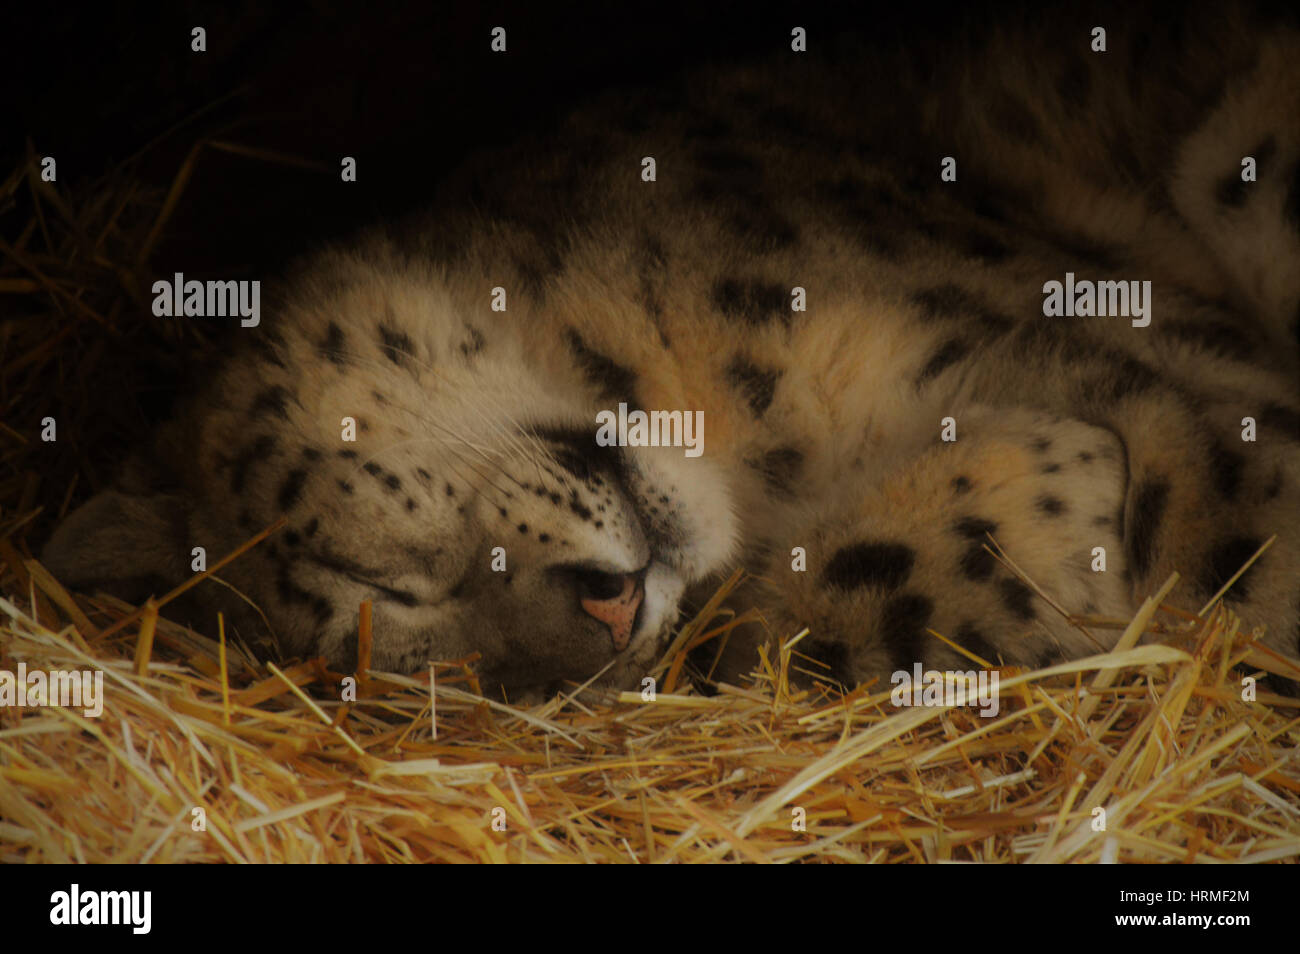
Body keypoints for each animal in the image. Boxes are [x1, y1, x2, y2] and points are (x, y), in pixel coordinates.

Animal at [40, 4, 1300, 701]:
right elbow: (792, 635)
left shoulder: (1139, 356)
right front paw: (1026, 493)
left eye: (380, 580)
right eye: (494, 685)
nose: (608, 612)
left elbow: (1238, 542)